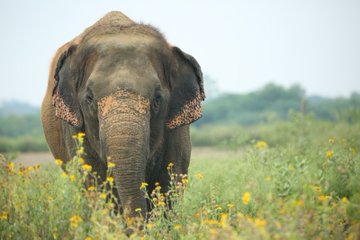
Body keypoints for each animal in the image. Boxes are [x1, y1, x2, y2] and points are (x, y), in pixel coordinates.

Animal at [41, 11, 205, 218]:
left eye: (157, 98)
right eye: (89, 98)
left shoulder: (176, 129)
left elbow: (170, 179)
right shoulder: (75, 129)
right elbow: (93, 180)